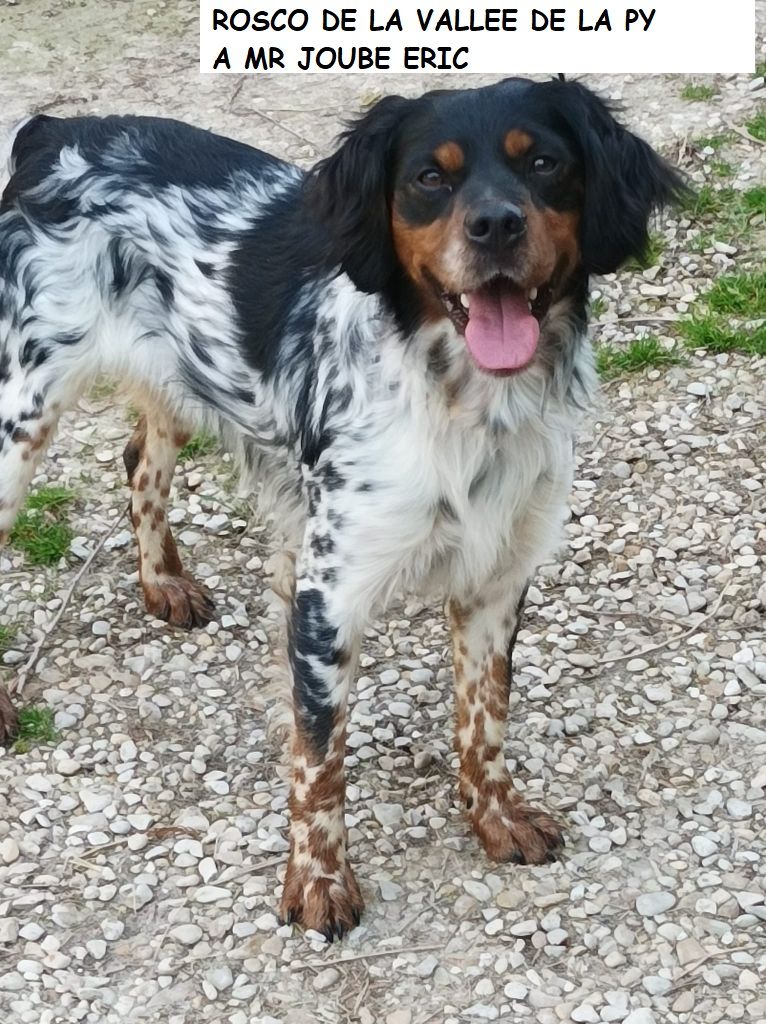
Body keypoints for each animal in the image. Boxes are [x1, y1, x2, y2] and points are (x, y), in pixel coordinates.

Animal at [0, 77, 684, 937]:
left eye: (545, 163)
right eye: (430, 177)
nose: (497, 226)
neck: (463, 399)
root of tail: (53, 133)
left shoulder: (497, 576)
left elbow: (485, 715)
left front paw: (495, 817)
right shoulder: (328, 596)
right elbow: (321, 759)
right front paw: (318, 882)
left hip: (176, 378)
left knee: (139, 463)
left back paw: (163, 583)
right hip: (21, 418)